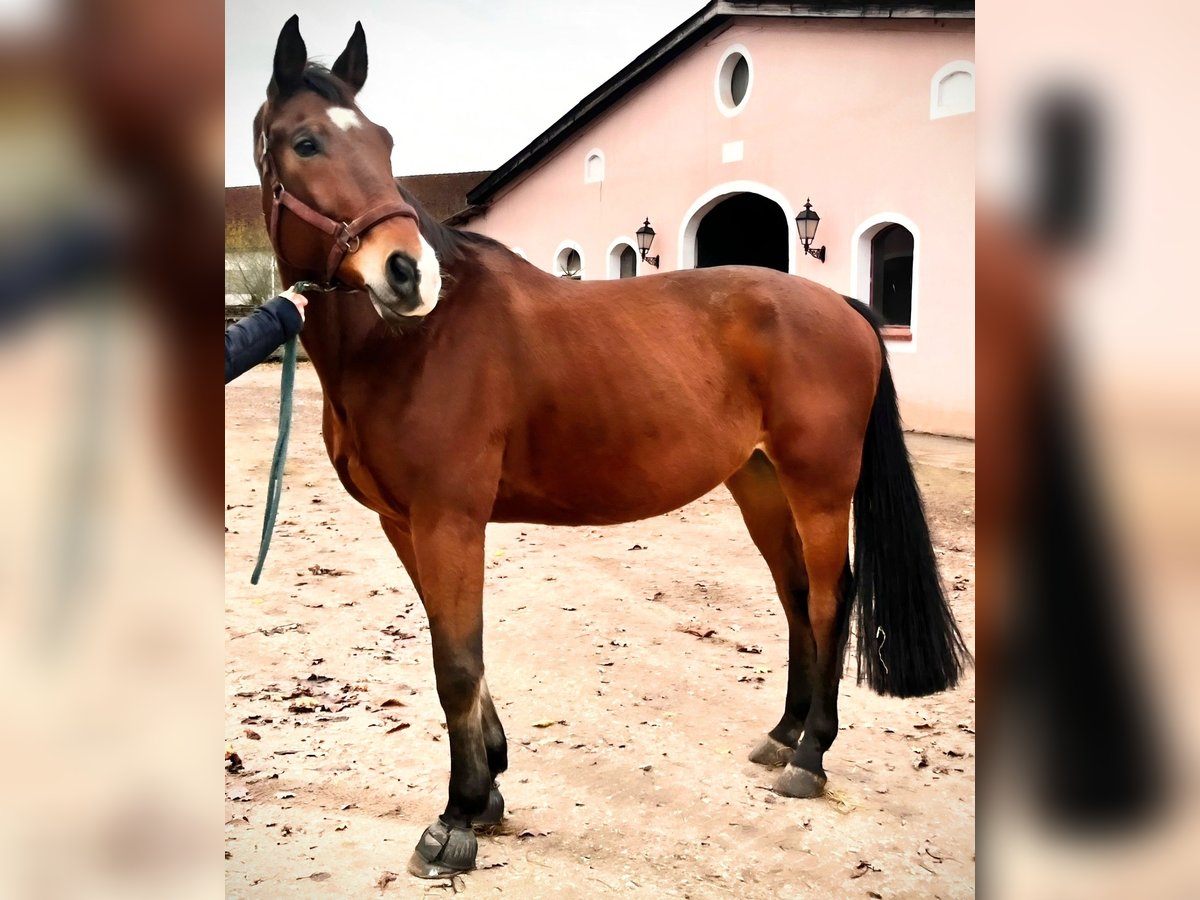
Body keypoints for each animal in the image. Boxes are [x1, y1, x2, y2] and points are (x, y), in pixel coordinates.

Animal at [250, 17, 964, 883]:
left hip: (820, 485)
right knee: (795, 595)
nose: (407, 273)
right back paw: (785, 734)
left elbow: (456, 661)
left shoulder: (449, 518)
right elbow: (459, 652)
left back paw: (811, 756)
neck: (410, 344)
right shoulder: (405, 522)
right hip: (759, 483)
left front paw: (455, 818)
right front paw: (489, 787)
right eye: (307, 142)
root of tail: (844, 306)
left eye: (383, 144)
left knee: (831, 598)